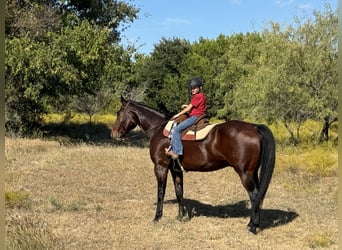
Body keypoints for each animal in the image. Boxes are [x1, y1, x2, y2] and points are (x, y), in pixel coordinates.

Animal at [111, 95, 276, 234]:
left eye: (119, 113)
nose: (114, 133)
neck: (159, 130)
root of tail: (254, 127)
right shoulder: (175, 169)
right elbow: (179, 191)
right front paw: (181, 216)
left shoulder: (160, 167)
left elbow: (160, 192)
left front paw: (157, 217)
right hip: (252, 173)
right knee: (258, 195)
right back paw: (254, 224)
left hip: (245, 173)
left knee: (254, 195)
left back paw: (252, 226)